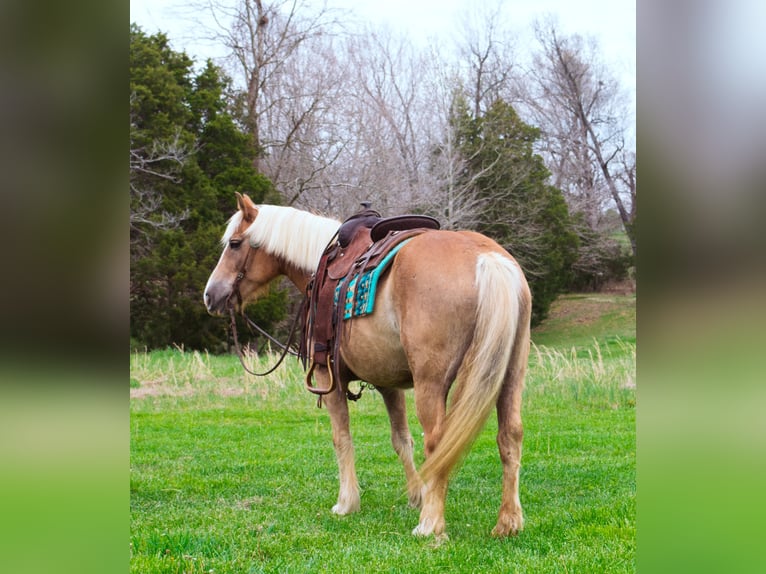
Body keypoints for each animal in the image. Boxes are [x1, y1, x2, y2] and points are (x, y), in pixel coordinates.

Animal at [204, 194, 536, 540]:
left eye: (235, 244)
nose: (211, 295)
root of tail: (487, 258)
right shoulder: (389, 384)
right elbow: (401, 439)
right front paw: (416, 495)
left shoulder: (327, 376)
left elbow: (342, 438)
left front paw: (347, 502)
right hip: (510, 375)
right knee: (510, 436)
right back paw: (508, 521)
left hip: (431, 384)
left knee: (438, 442)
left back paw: (430, 524)